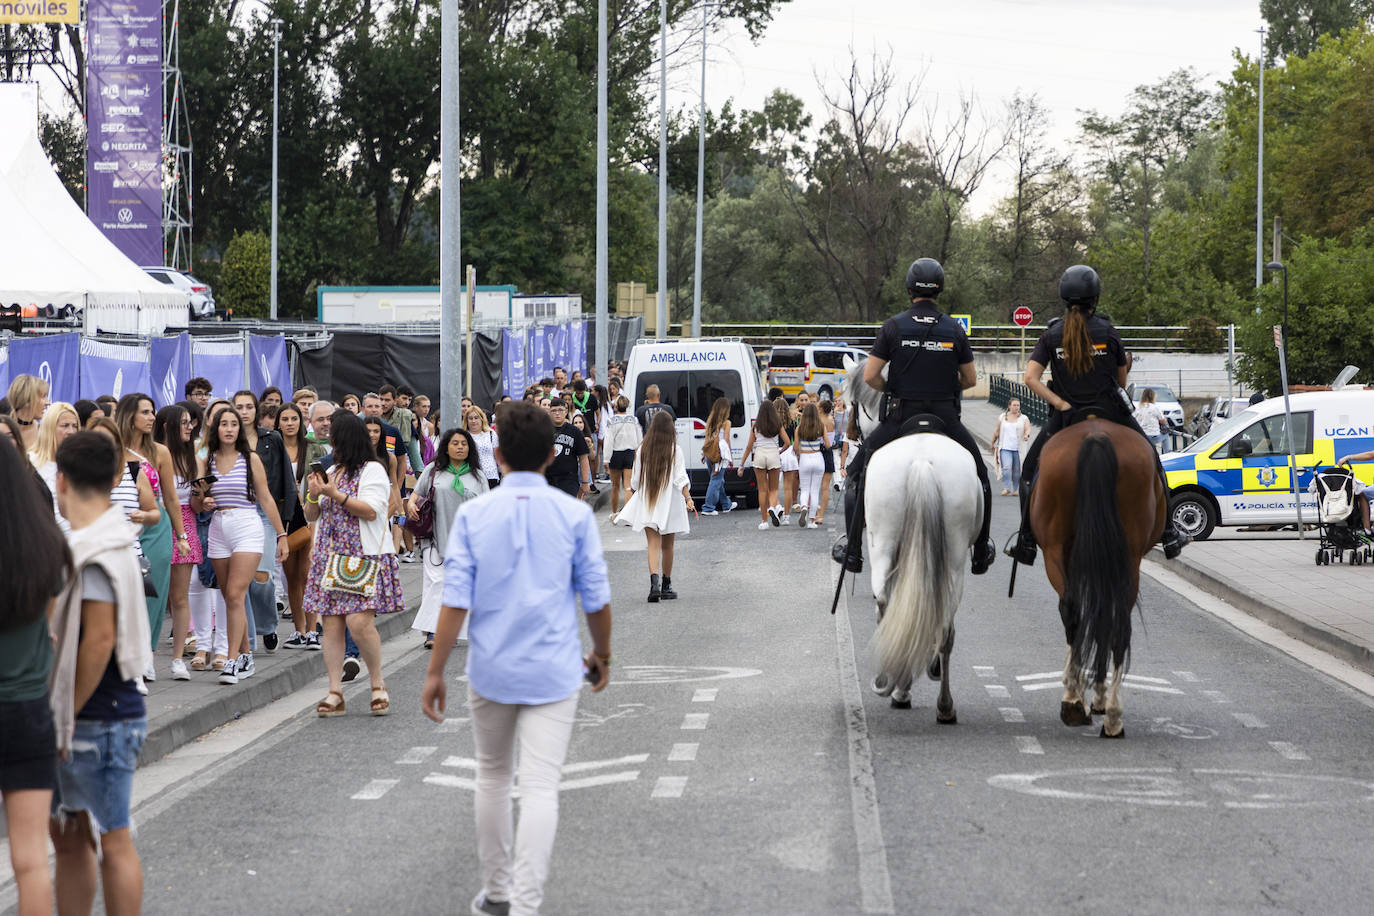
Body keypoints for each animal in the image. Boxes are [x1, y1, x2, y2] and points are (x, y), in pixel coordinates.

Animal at [840, 354, 983, 719]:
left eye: (852, 402)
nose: (850, 434)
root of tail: (921, 461)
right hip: (953, 557)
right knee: (943, 623)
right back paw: (941, 703)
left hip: (882, 543)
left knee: (885, 603)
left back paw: (895, 684)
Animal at [1033, 417, 1165, 736]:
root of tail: (1096, 435)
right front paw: (1097, 696)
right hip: (1126, 556)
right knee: (1116, 619)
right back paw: (1112, 715)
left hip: (1056, 549)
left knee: (1073, 611)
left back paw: (1076, 701)